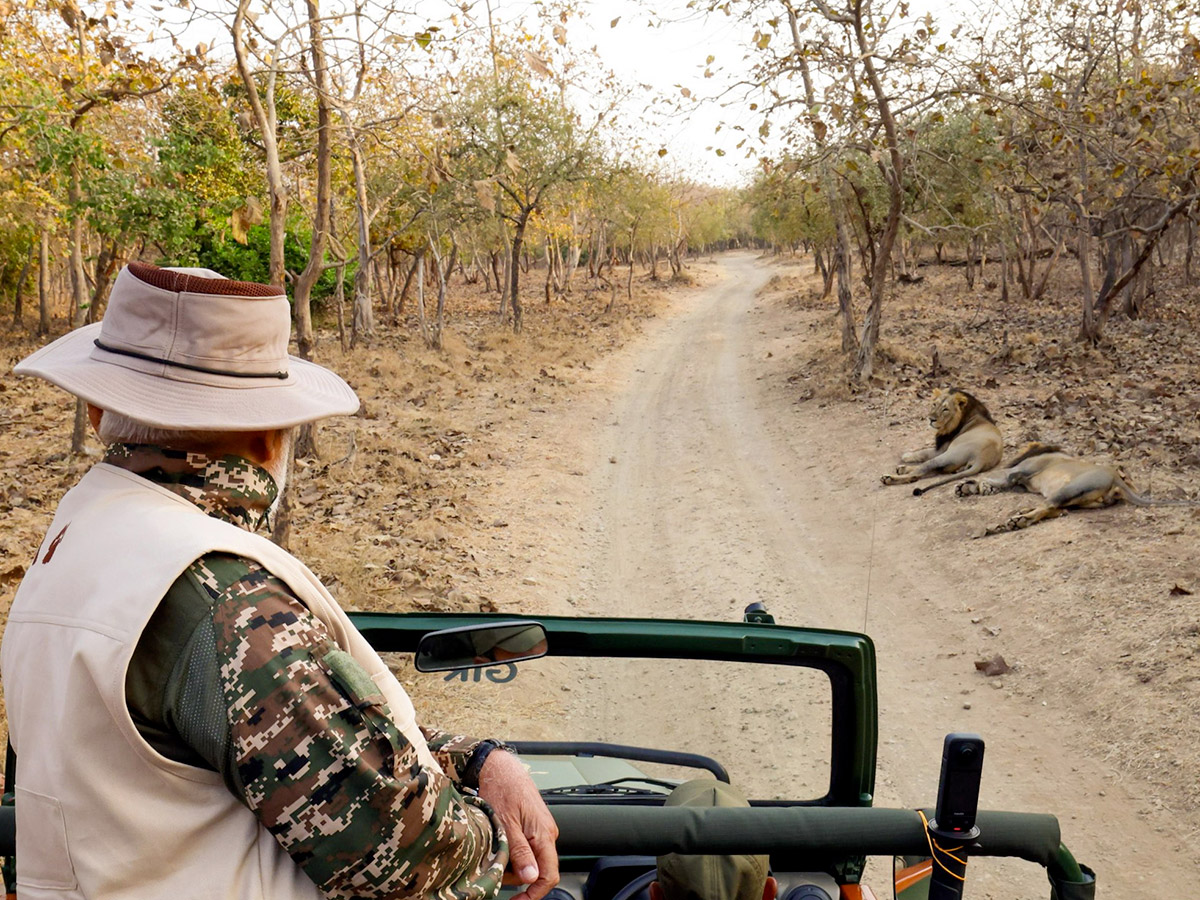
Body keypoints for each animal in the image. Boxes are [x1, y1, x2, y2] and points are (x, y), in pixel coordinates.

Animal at [945, 444, 1190, 535]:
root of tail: (1114, 478)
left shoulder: (1018, 473)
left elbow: (994, 478)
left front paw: (971, 486)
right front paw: (970, 488)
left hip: (1070, 488)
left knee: (1048, 506)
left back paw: (1012, 522)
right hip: (1079, 500)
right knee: (1054, 509)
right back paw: (1018, 518)